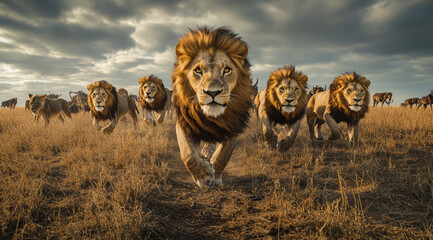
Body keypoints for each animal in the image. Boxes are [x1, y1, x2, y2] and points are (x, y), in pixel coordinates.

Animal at [171, 25, 253, 188]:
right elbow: (187, 153)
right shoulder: (185, 121)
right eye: (198, 70)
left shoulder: (233, 124)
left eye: (227, 70)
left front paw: (215, 176)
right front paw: (204, 176)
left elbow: (224, 154)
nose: (212, 92)